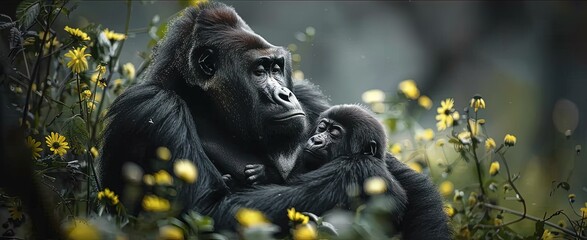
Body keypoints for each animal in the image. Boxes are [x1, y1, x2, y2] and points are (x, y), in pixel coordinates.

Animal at [100, 1, 450, 238]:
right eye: (259, 70)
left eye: (277, 67)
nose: (284, 94)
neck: (202, 103)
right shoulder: (152, 107)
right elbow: (205, 213)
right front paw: (358, 174)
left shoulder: (307, 96)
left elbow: (411, 183)